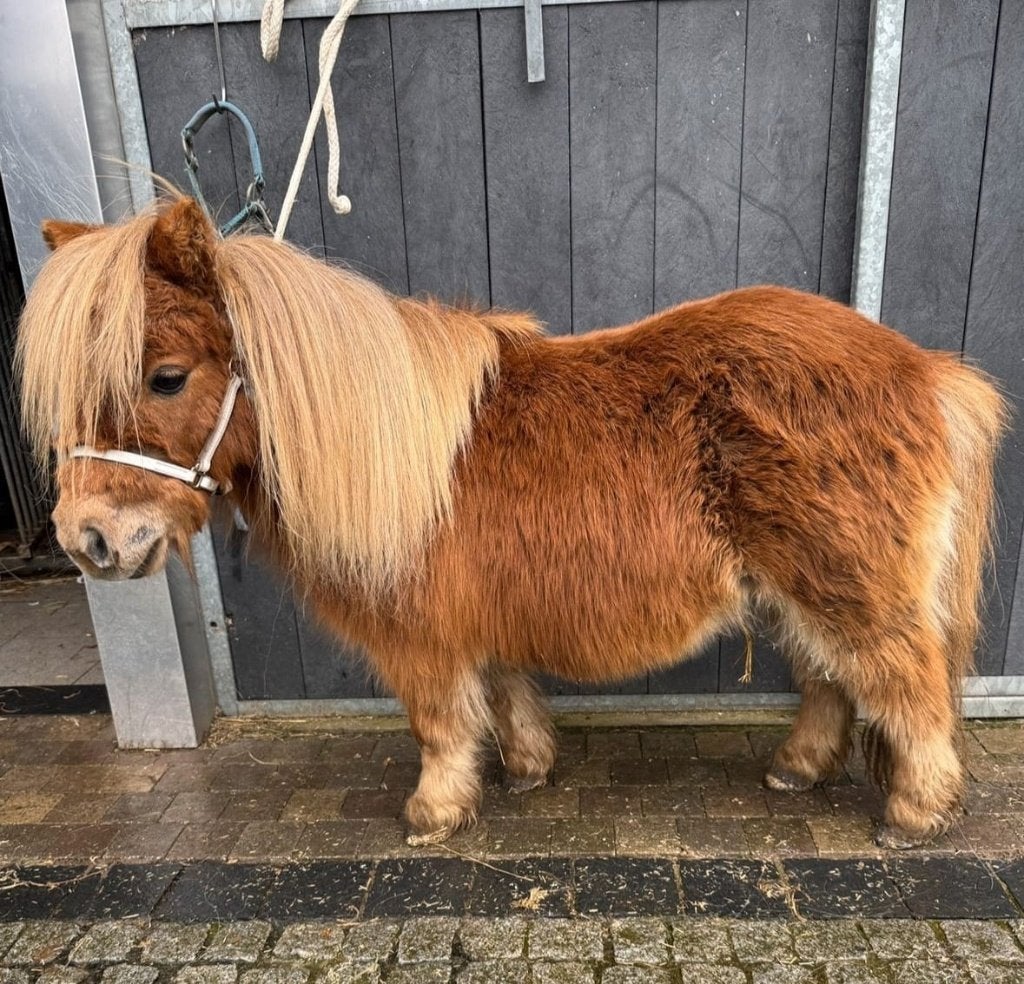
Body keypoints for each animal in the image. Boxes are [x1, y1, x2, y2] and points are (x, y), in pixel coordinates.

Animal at [18, 195, 1006, 849]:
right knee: (834, 680)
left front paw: (435, 812)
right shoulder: (475, 617)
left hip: (850, 588)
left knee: (907, 686)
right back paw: (798, 768)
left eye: (167, 377)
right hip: (810, 588)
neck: (390, 448)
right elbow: (502, 693)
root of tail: (926, 372)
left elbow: (438, 722)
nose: (89, 542)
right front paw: (528, 770)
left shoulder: (419, 635)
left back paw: (915, 815)